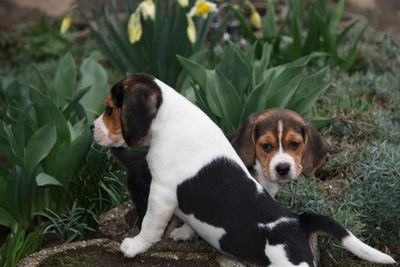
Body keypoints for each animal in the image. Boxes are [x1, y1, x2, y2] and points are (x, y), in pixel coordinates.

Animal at [92, 74, 396, 267]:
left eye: (109, 109)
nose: (92, 128)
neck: (171, 120)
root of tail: (299, 221)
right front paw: (184, 233)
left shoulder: (161, 194)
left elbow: (149, 226)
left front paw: (134, 246)